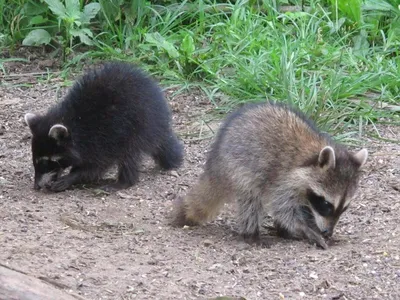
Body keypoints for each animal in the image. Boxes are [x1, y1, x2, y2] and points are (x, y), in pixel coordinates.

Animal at [23, 61, 183, 192]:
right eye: (35, 160)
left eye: (46, 161)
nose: (36, 186)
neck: (72, 122)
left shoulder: (101, 139)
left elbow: (96, 167)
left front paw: (72, 177)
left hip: (137, 127)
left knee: (129, 155)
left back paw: (124, 182)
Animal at [173, 102, 368, 250]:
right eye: (326, 204)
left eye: (344, 208)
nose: (328, 232)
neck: (312, 154)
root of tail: (215, 164)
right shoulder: (284, 180)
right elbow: (283, 210)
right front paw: (306, 229)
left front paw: (311, 227)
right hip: (239, 170)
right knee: (251, 202)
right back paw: (252, 234)